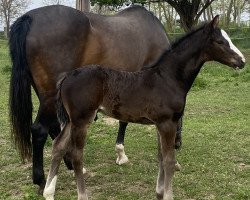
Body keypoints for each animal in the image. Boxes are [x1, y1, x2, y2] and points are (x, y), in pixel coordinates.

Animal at [9, 4, 184, 192]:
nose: (178, 144)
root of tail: (31, 17)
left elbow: (123, 120)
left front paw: (120, 154)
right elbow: (126, 121)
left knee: (55, 128)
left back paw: (70, 165)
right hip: (50, 97)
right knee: (40, 130)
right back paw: (42, 180)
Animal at [43, 16, 244, 200]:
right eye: (220, 41)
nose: (242, 61)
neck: (168, 79)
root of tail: (67, 76)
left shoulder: (161, 124)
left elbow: (161, 157)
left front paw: (159, 192)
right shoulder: (167, 123)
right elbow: (169, 161)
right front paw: (168, 195)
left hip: (71, 120)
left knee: (58, 146)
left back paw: (48, 193)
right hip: (81, 120)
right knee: (76, 155)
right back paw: (81, 194)